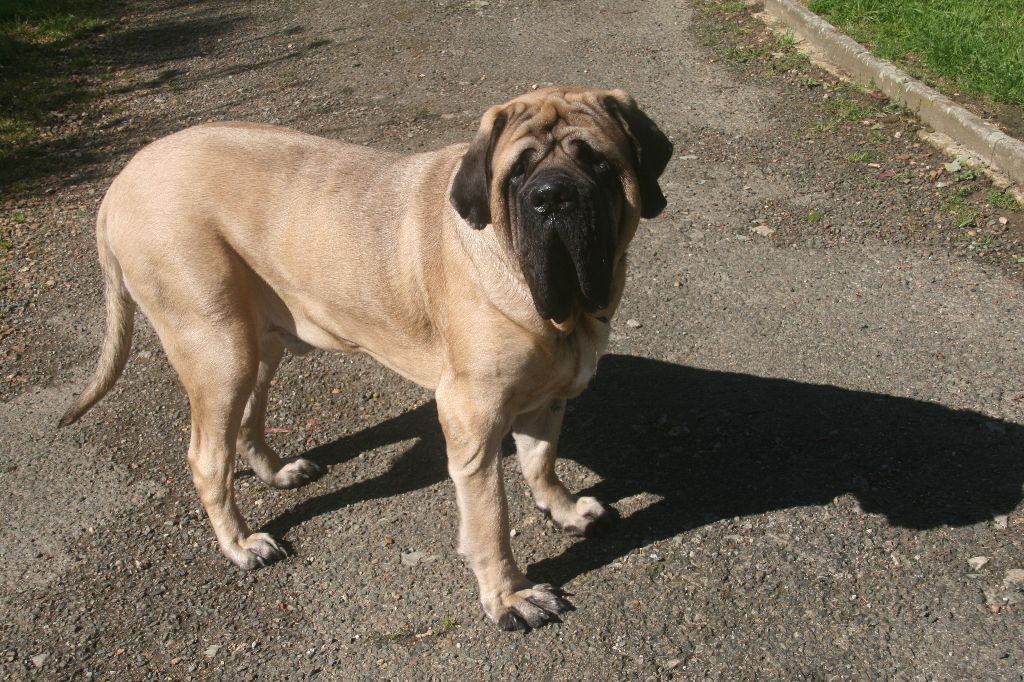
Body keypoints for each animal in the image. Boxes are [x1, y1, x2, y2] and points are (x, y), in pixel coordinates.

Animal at [60, 87, 672, 630]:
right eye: (517, 174)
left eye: (596, 161)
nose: (552, 196)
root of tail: (119, 185)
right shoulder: (471, 417)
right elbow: (490, 520)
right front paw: (509, 595)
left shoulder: (546, 396)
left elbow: (541, 462)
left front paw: (563, 510)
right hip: (218, 349)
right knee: (206, 457)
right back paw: (240, 544)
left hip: (258, 344)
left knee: (248, 419)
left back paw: (276, 471)